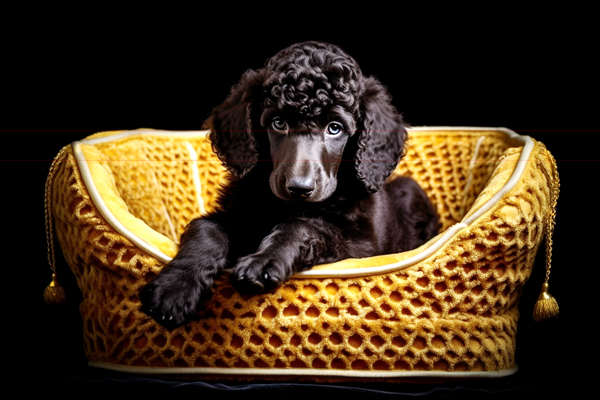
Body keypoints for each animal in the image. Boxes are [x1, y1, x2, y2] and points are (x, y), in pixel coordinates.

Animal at [143, 41, 438, 328]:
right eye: (278, 123)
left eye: (334, 128)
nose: (299, 188)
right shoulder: (237, 213)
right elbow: (207, 229)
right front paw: (174, 288)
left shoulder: (359, 246)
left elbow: (303, 226)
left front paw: (263, 261)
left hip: (409, 191)